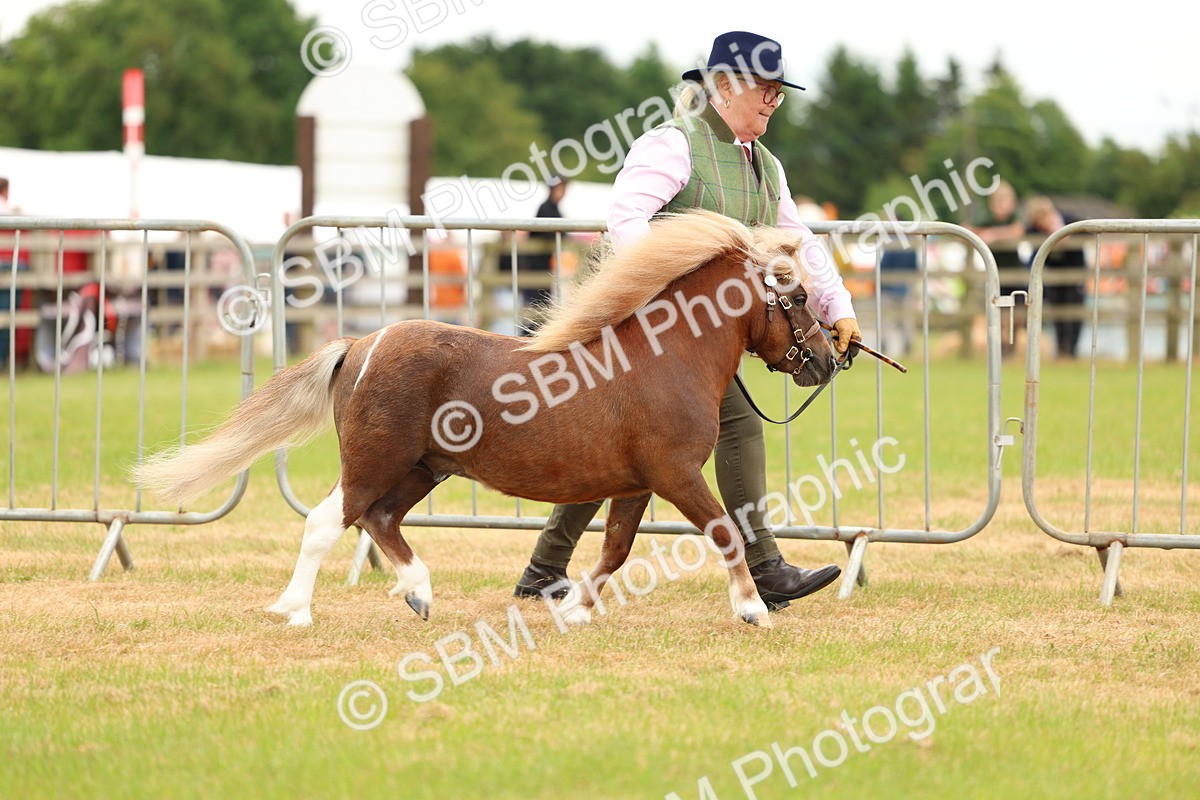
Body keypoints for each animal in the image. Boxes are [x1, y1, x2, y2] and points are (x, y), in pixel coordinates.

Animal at [133, 209, 838, 628]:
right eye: (798, 295)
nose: (828, 361)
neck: (666, 358)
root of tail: (358, 347)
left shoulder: (637, 483)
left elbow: (612, 551)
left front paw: (574, 611)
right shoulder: (676, 473)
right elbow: (723, 530)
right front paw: (753, 610)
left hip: (424, 468)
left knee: (380, 519)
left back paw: (418, 593)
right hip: (375, 461)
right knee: (328, 521)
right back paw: (296, 610)